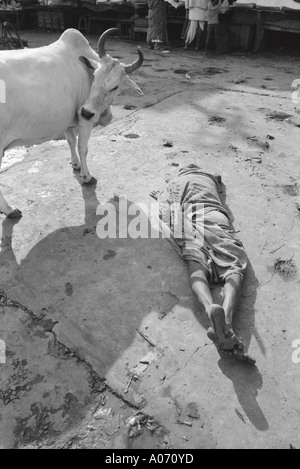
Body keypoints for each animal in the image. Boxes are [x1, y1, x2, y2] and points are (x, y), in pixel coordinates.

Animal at [0, 28, 143, 218]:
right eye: (94, 76)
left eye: (115, 87)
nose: (87, 111)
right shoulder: (85, 121)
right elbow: (83, 147)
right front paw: (87, 176)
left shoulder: (68, 122)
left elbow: (70, 141)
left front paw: (75, 164)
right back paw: (9, 210)